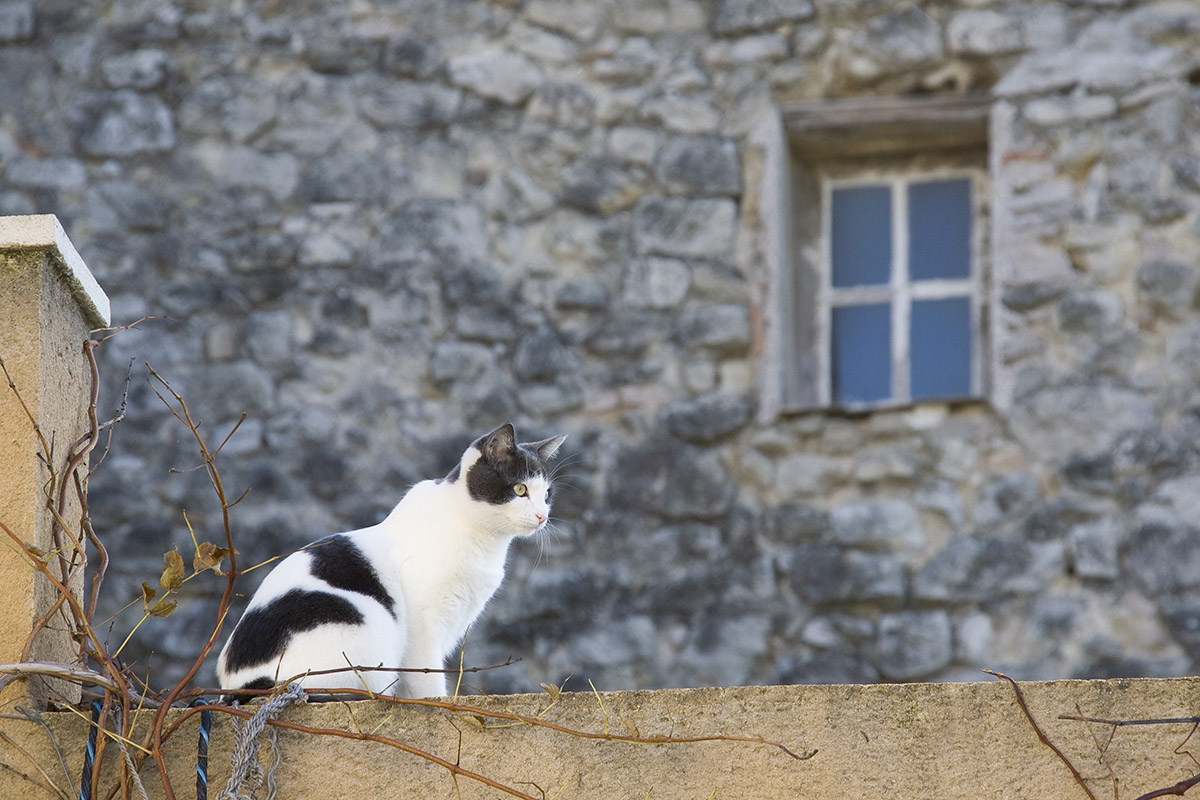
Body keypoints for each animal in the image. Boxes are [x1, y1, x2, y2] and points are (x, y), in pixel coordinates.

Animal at [217, 424, 566, 700]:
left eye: (547, 494)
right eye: (520, 489)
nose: (542, 516)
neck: (484, 541)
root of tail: (241, 686)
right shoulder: (424, 624)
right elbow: (427, 676)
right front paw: (436, 704)